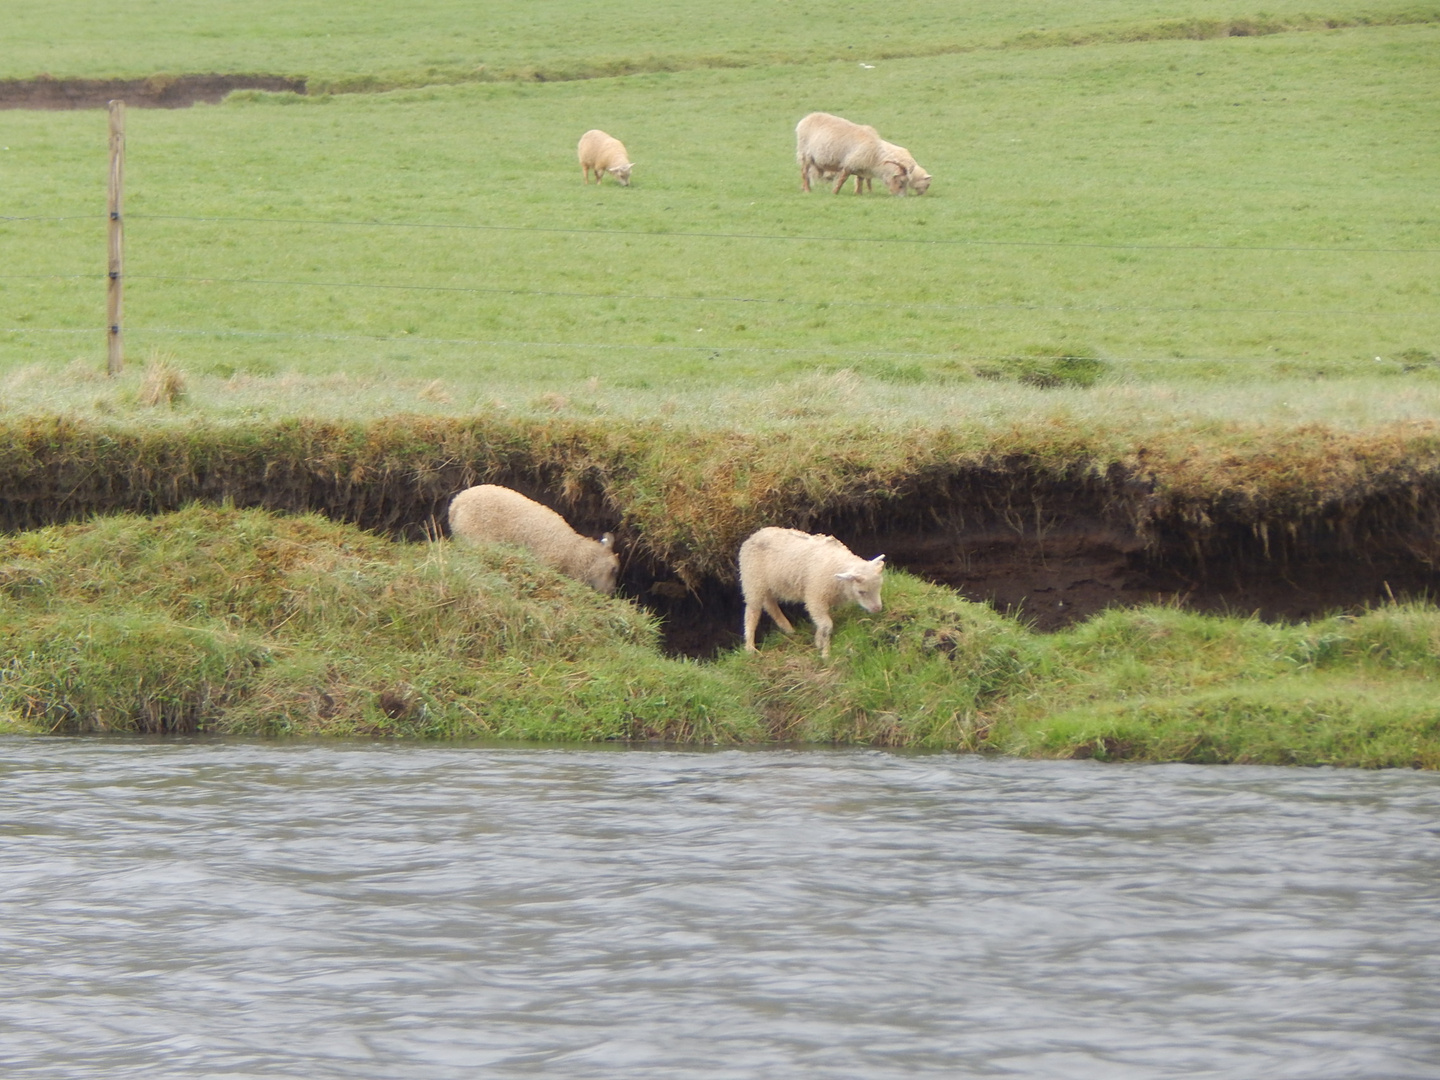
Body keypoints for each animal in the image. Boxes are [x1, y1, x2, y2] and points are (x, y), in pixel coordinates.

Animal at [748, 527, 881, 659]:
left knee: (770, 605)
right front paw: (825, 653)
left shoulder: (820, 600)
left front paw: (818, 641)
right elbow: (827, 626)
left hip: (767, 585)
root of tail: (757, 533)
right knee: (752, 612)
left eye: (879, 586)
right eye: (861, 591)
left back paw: (788, 629)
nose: (877, 609)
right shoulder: (815, 596)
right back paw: (750, 647)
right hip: (753, 581)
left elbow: (821, 624)